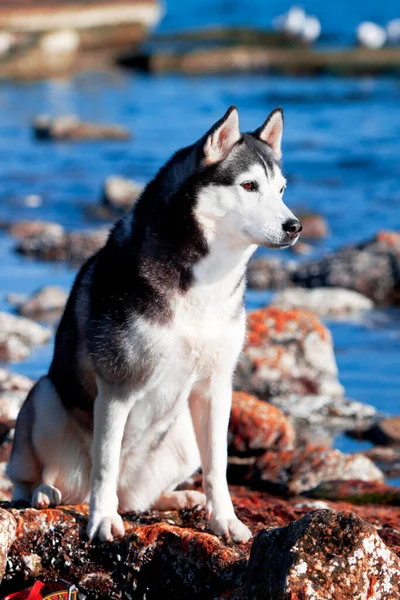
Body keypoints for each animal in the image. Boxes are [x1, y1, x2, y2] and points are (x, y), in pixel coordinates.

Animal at [7, 106, 300, 544]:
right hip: (43, 400)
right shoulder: (117, 388)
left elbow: (218, 468)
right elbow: (105, 464)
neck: (203, 282)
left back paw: (177, 498)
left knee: (137, 496)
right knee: (36, 476)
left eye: (280, 189)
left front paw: (225, 521)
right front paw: (102, 520)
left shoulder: (216, 390)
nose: (294, 226)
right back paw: (44, 491)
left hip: (183, 434)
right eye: (249, 186)